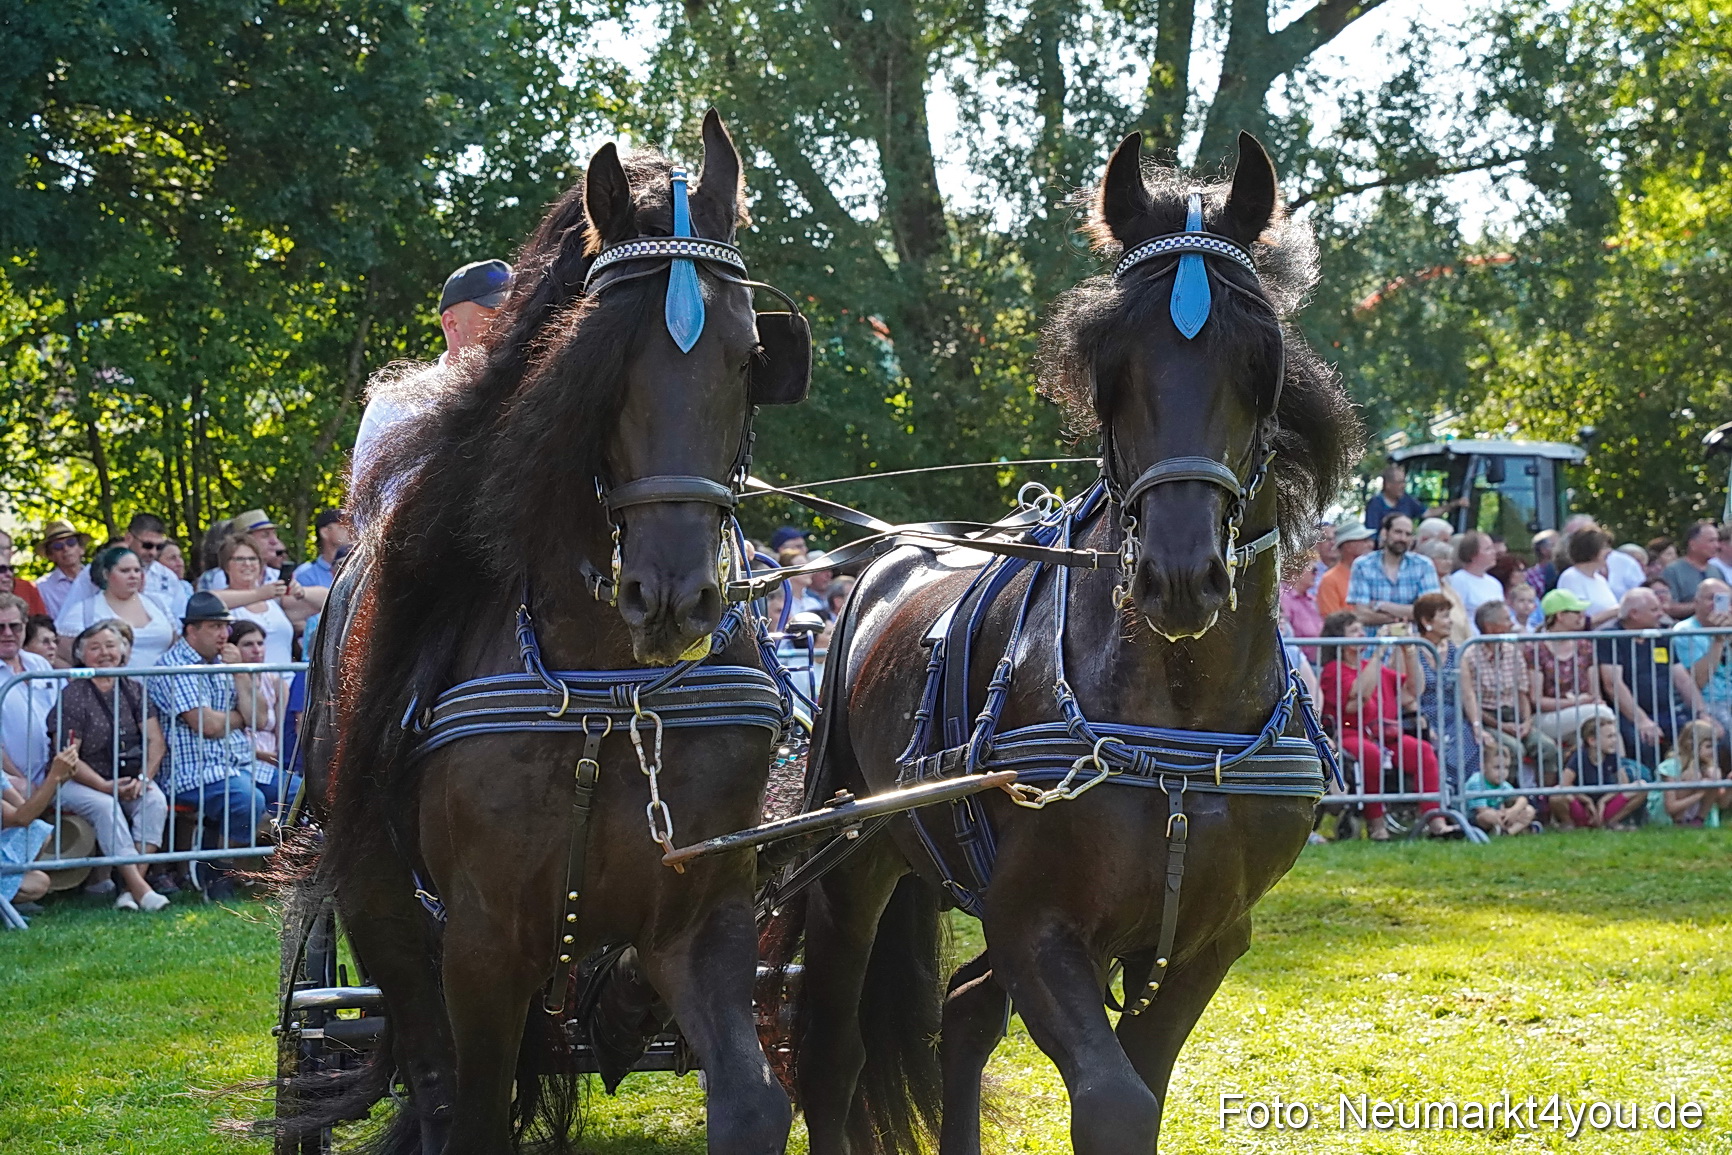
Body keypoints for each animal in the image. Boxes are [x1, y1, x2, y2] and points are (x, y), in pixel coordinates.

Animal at [283, 110, 812, 1155]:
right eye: (601, 358)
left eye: (745, 355)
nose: (675, 595)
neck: (611, 689)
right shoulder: (485, 940)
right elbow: (473, 1107)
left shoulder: (702, 912)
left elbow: (752, 1099)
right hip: (380, 895)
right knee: (428, 1072)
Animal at [791, 131, 1361, 1155]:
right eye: (1110, 363)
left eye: (1261, 357)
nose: (1179, 574)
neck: (1181, 721)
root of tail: (891, 549)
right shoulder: (1037, 922)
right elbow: (1112, 1103)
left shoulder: (1210, 938)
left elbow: (1140, 1086)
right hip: (853, 856)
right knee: (832, 1048)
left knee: (962, 1010)